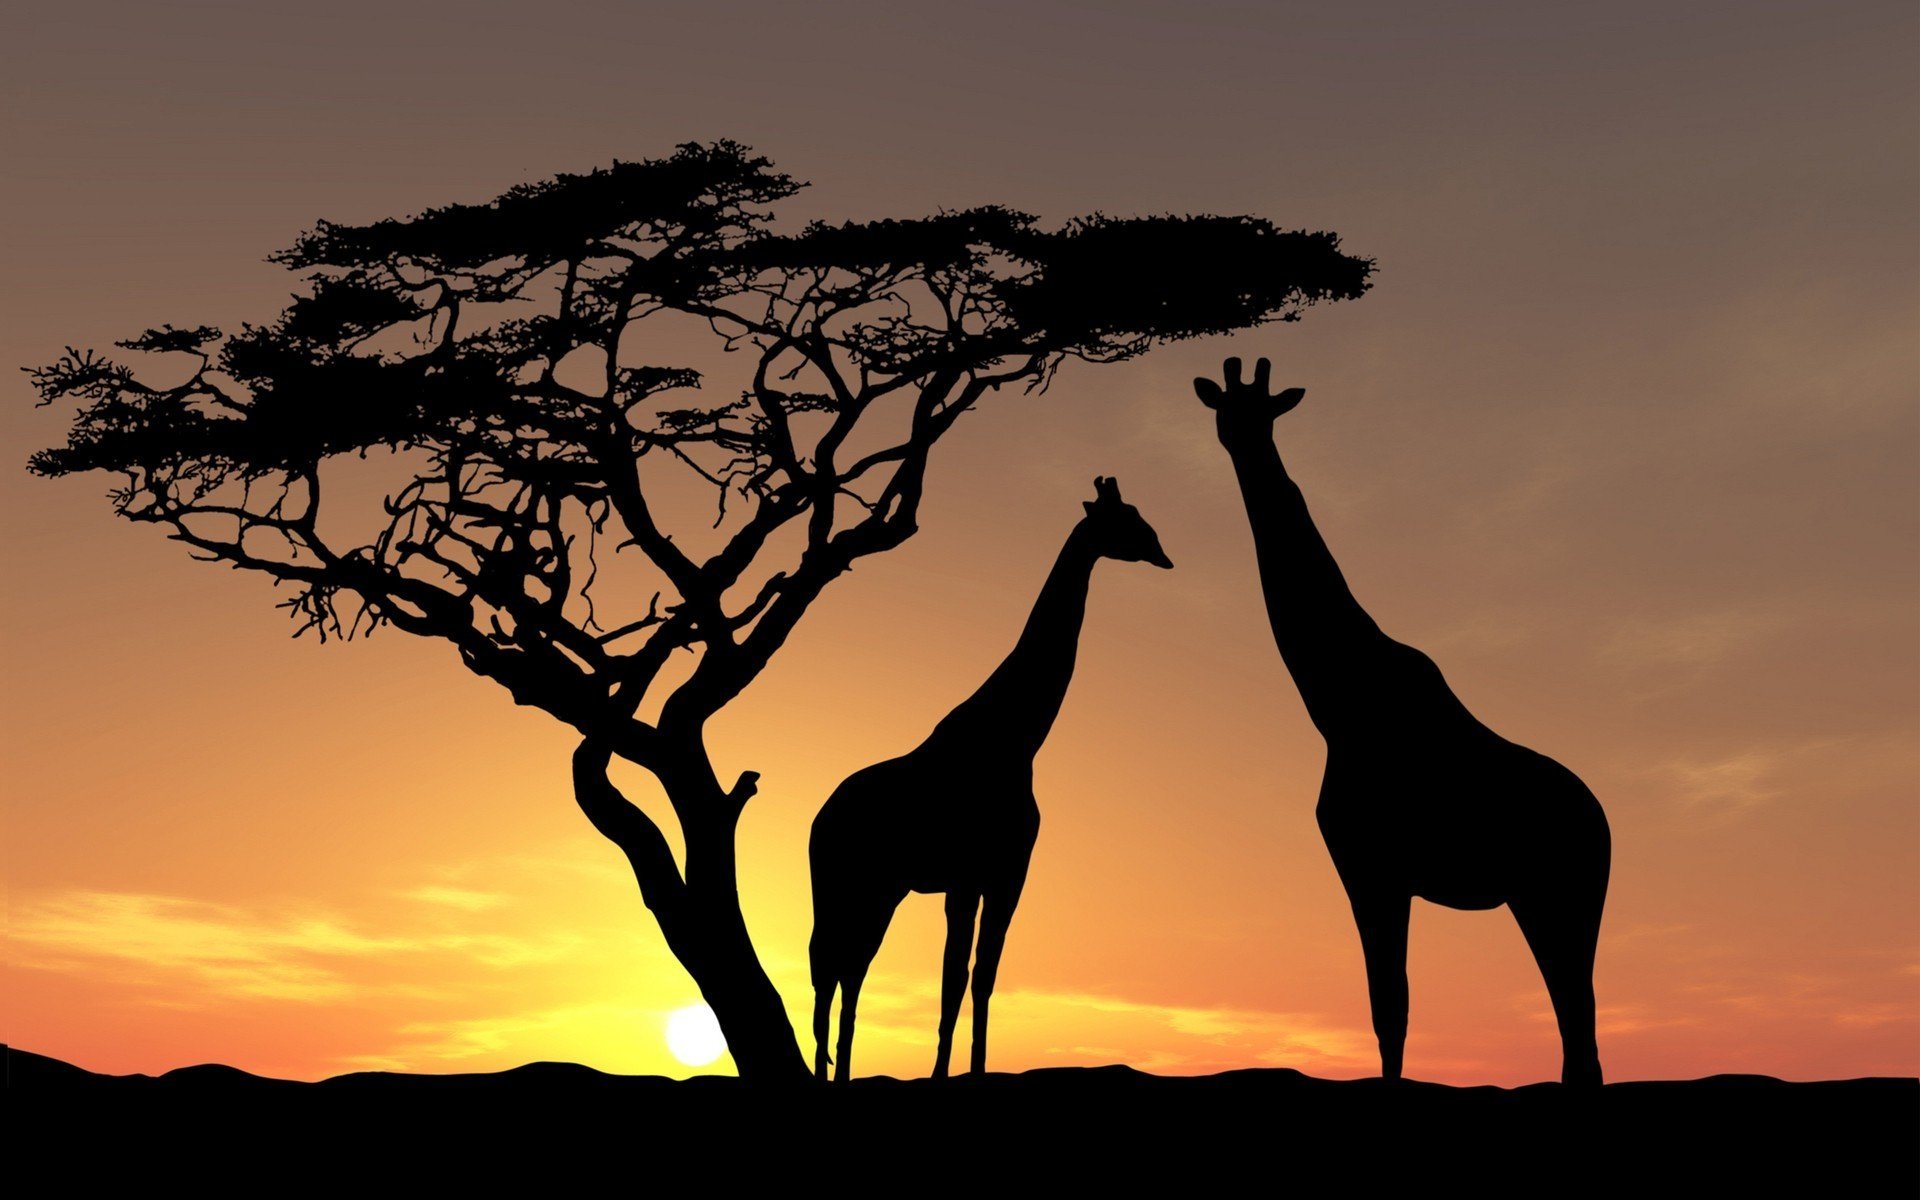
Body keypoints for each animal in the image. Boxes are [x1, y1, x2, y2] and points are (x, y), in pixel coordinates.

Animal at [808, 476, 1173, 1082]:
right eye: (1126, 521)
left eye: (1142, 518)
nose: (1164, 554)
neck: (1017, 739)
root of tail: (819, 818)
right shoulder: (966, 876)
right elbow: (954, 976)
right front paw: (939, 1075)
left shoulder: (1006, 872)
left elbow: (983, 976)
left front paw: (974, 1071)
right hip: (845, 881)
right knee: (830, 963)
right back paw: (827, 1071)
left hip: (881, 889)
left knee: (848, 965)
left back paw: (837, 1070)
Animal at [1196, 356, 1610, 1086]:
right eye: (1226, 410)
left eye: (1265, 412)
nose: (1242, 443)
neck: (1339, 705)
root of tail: (1605, 826)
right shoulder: (1369, 867)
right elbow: (1388, 1009)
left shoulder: (1373, 865)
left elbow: (1390, 1007)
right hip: (1542, 898)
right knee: (1577, 1031)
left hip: (1561, 894)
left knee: (1578, 1024)